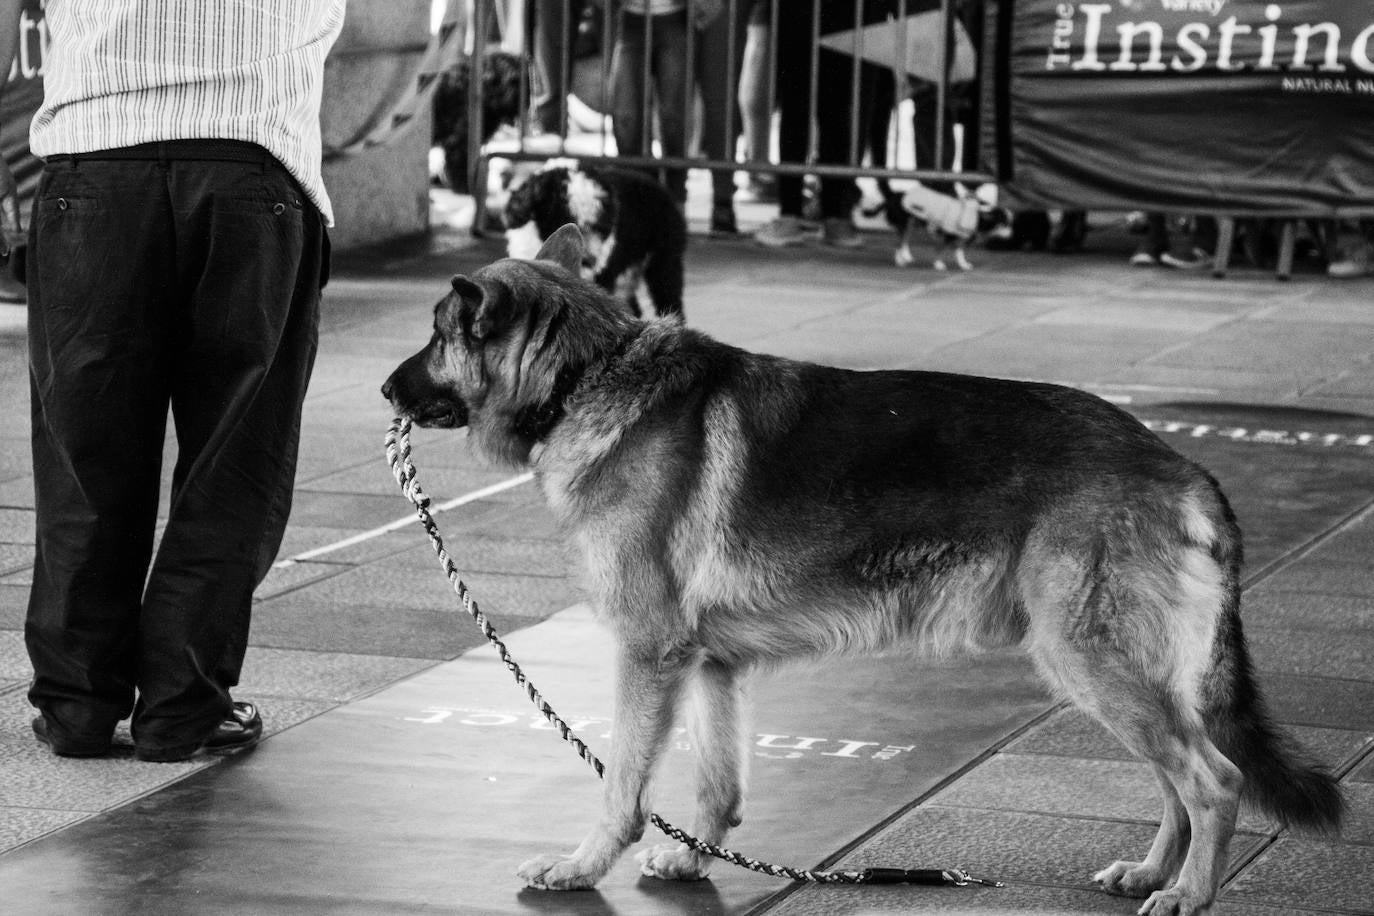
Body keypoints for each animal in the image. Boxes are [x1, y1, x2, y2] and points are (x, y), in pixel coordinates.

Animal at [384, 225, 1341, 911]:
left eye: (435, 336)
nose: (385, 392)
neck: (588, 373)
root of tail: (1180, 464)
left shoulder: (649, 656)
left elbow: (621, 781)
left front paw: (583, 867)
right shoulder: (712, 665)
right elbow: (719, 783)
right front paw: (693, 861)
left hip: (1092, 662)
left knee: (1214, 779)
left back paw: (1189, 894)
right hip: (1115, 673)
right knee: (1179, 778)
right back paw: (1153, 875)